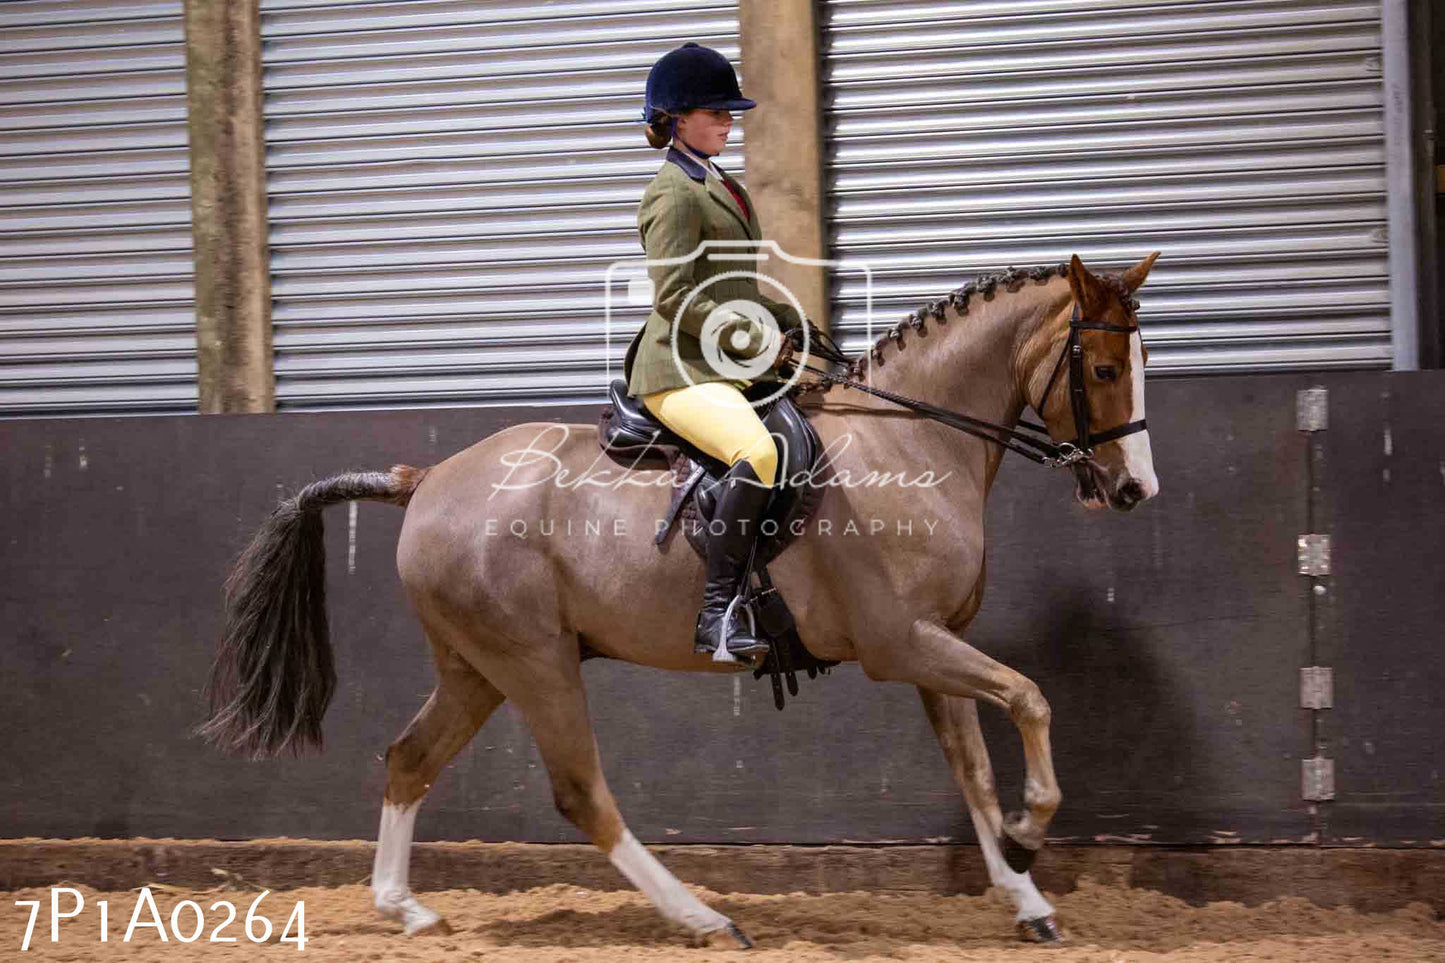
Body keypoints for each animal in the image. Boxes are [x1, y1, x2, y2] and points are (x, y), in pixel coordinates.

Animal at [200, 252, 1161, 947]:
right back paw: (701, 916)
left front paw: (1023, 891)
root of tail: (427, 477)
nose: (1132, 490)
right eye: (1102, 367)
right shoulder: (903, 643)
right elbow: (1030, 699)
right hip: (534, 662)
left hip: (476, 666)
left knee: (408, 758)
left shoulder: (939, 645)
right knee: (580, 792)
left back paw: (405, 909)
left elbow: (973, 766)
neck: (911, 441)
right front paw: (1030, 834)